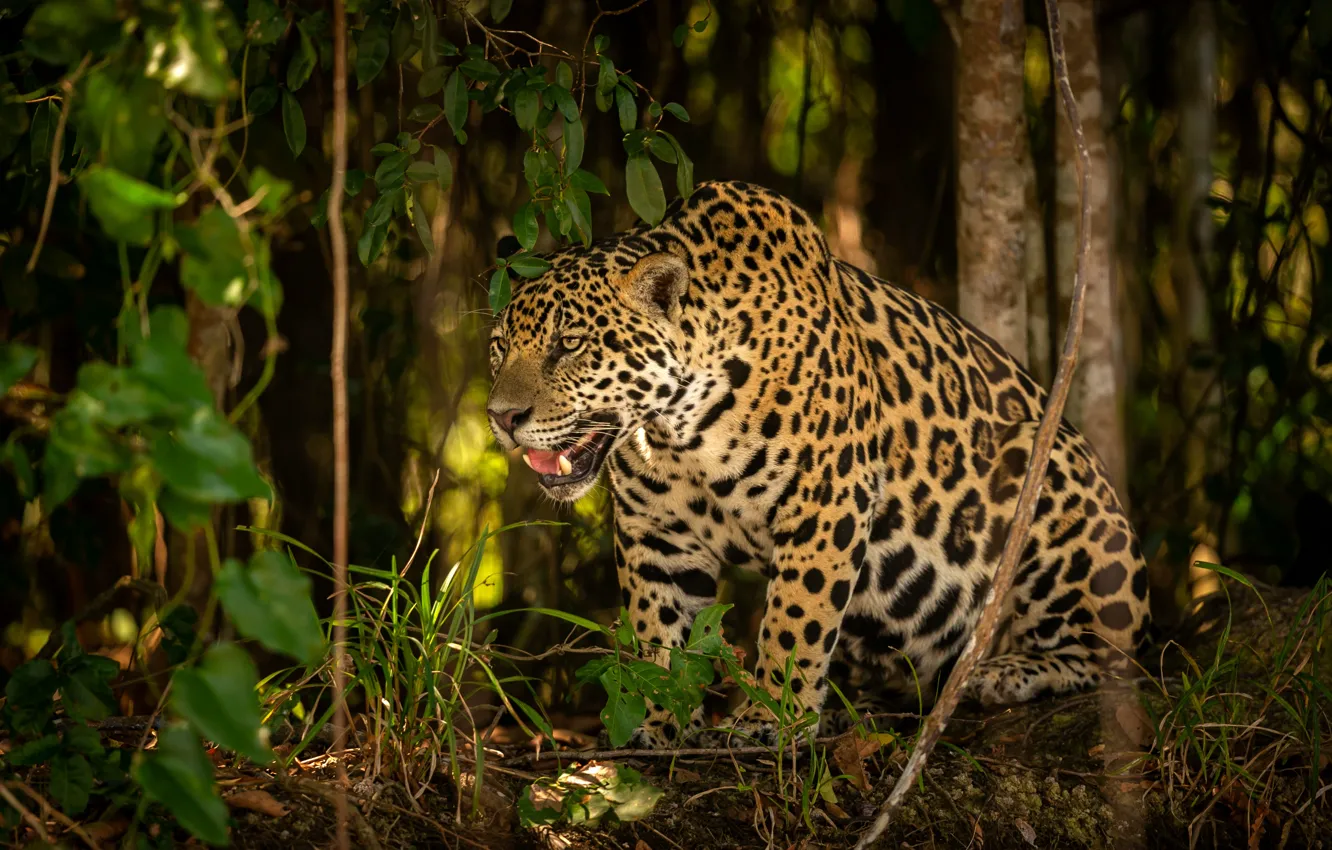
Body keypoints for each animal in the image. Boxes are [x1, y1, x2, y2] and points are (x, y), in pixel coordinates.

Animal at [486, 180, 1151, 748]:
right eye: (499, 349)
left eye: (569, 344)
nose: (501, 416)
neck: (676, 429)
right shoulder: (657, 532)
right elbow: (659, 633)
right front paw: (662, 720)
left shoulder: (826, 499)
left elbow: (794, 618)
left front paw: (770, 721)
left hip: (1050, 475)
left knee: (1113, 658)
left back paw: (1002, 672)